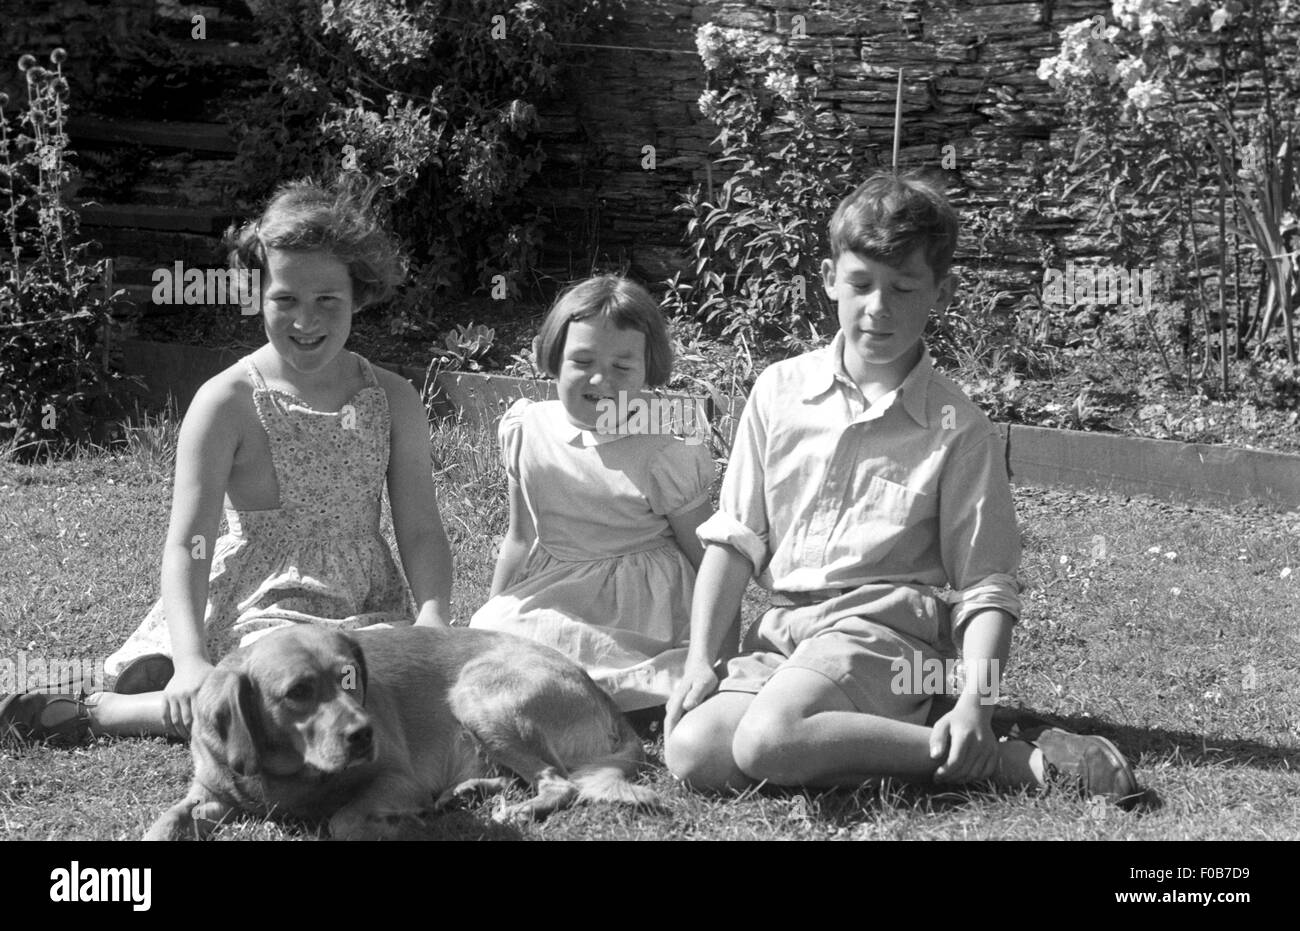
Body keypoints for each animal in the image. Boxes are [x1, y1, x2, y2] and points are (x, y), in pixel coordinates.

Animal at [144, 621, 660, 842]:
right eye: (298, 692)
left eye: (350, 677)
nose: (364, 735)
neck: (286, 774)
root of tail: (599, 691)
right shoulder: (208, 794)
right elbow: (163, 823)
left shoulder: (396, 779)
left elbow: (344, 819)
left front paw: (399, 824)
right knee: (525, 776)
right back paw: (467, 791)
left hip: (475, 695)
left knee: (559, 784)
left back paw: (509, 810)